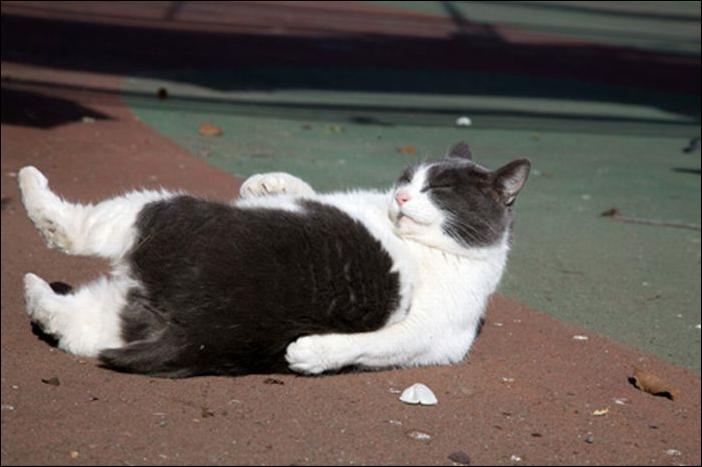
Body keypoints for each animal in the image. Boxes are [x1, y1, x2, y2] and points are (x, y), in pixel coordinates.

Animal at [18, 142, 530, 377]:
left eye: (438, 189)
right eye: (407, 178)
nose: (401, 196)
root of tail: (201, 330)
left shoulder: (432, 336)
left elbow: (376, 343)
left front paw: (309, 353)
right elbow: (307, 188)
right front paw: (265, 183)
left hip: (163, 212)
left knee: (73, 231)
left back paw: (31, 190)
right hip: (125, 313)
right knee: (77, 328)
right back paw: (38, 295)